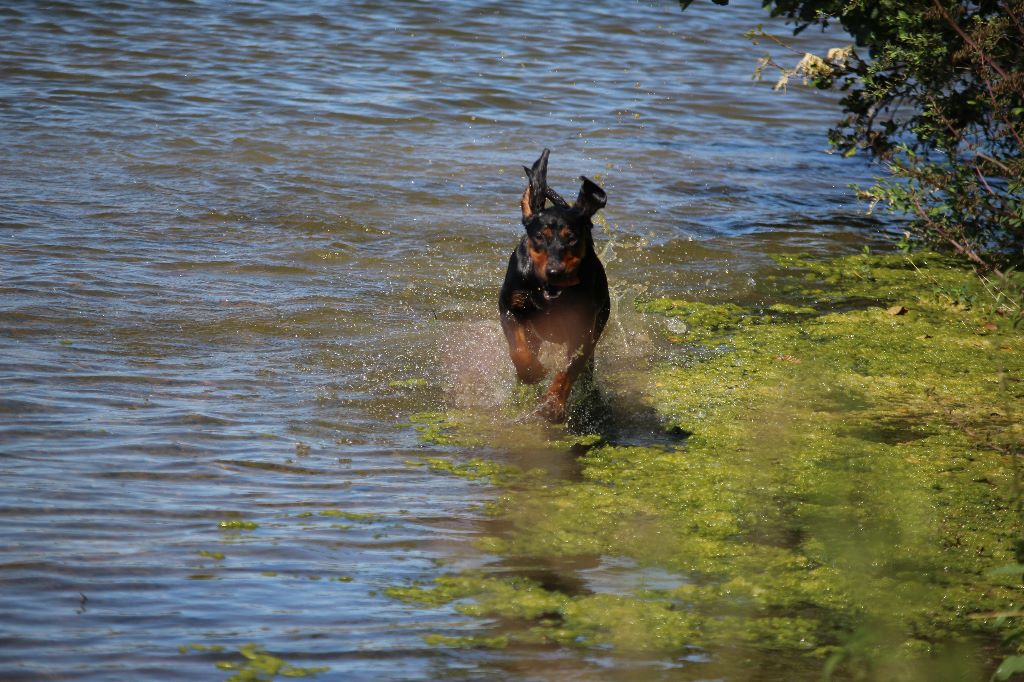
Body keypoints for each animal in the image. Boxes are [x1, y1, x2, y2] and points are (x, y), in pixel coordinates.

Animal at [497, 150, 606, 419]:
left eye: (572, 238)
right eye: (539, 237)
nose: (555, 271)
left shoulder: (583, 328)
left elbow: (570, 367)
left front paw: (552, 404)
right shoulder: (509, 307)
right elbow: (518, 349)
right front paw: (532, 373)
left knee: (587, 365)